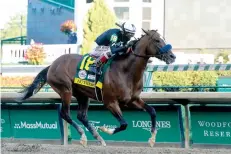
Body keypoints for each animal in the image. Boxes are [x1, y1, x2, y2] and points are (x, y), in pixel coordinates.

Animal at [18, 28, 176, 147]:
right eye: (157, 40)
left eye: (163, 39)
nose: (172, 56)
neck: (126, 71)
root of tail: (52, 65)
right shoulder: (110, 102)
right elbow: (124, 124)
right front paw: (105, 129)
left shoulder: (132, 100)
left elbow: (153, 111)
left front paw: (152, 139)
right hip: (65, 90)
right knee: (65, 114)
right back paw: (83, 136)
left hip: (82, 95)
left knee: (81, 115)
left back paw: (98, 138)